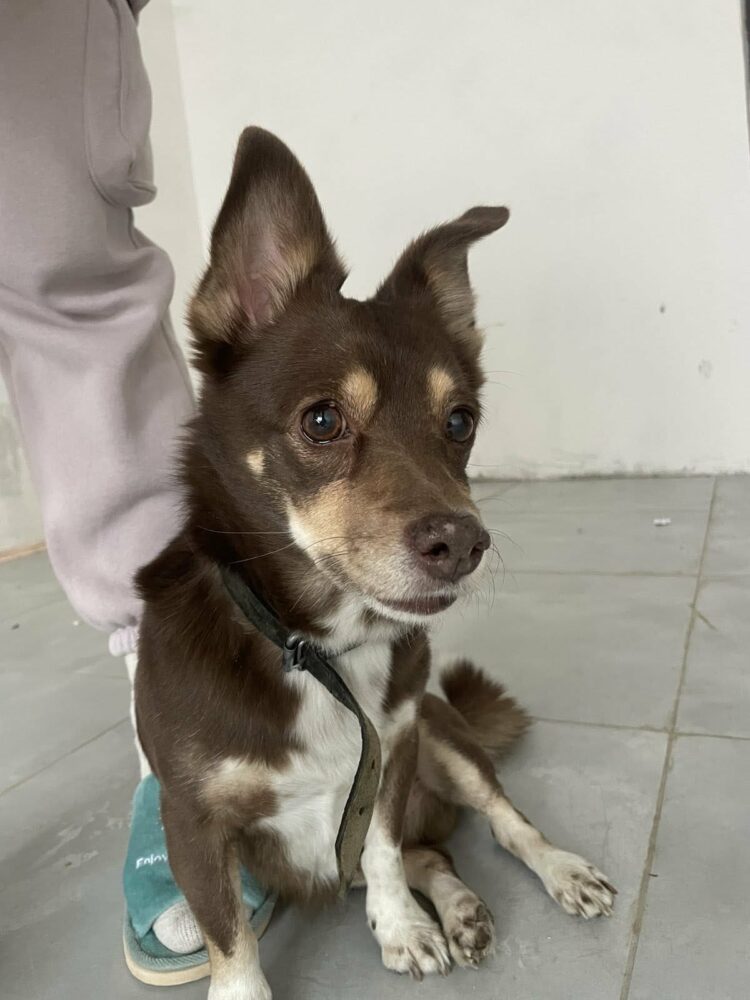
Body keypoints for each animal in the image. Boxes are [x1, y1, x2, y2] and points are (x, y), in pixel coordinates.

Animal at [135, 127, 615, 1000]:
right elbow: (233, 944)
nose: (463, 544)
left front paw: (401, 930)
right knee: (437, 852)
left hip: (443, 732)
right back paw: (459, 907)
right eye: (322, 420)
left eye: (460, 421)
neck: (317, 648)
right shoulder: (192, 822)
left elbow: (386, 853)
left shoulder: (394, 752)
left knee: (498, 825)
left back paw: (547, 874)